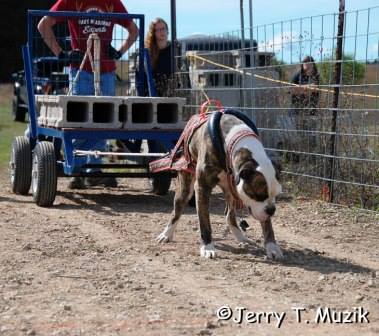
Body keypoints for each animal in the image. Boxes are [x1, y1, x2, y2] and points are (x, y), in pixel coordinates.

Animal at [156, 113, 284, 260]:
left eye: (276, 195)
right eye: (258, 195)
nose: (271, 210)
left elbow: (267, 225)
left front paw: (272, 247)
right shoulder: (202, 187)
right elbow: (204, 222)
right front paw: (207, 247)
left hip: (230, 191)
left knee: (230, 215)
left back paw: (241, 237)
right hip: (185, 187)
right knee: (177, 211)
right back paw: (166, 234)